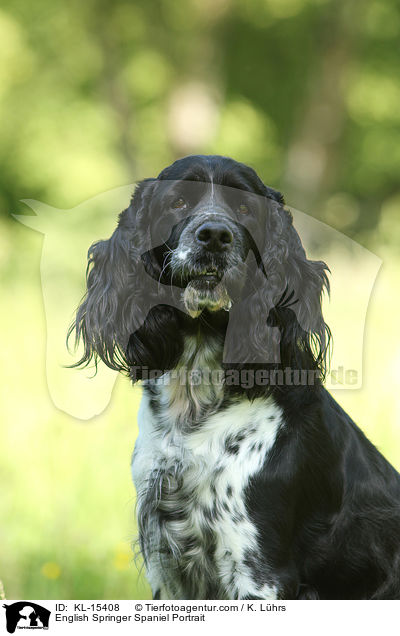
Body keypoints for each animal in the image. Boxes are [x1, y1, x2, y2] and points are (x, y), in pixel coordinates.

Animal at [70, 155, 400, 600]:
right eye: (177, 202)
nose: (214, 236)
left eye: (245, 208)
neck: (194, 408)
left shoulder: (259, 571)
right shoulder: (166, 566)